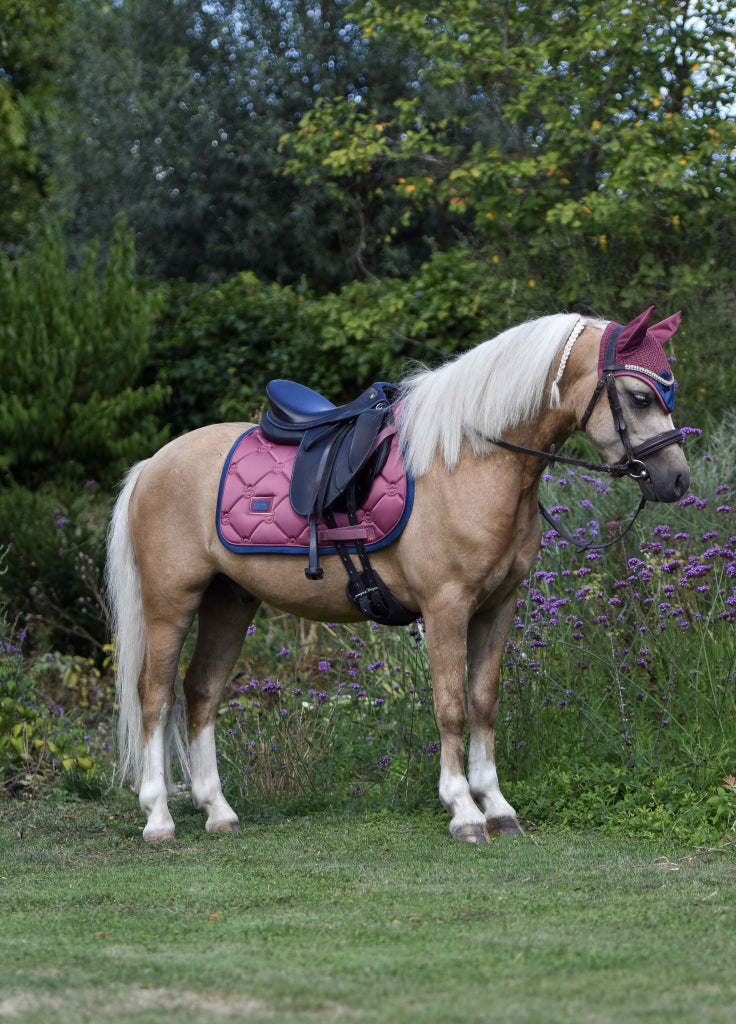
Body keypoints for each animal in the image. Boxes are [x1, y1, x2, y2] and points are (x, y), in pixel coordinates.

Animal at [107, 307, 691, 843]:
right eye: (640, 397)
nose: (677, 480)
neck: (472, 460)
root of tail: (153, 464)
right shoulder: (446, 607)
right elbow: (451, 707)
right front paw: (463, 810)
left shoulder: (498, 606)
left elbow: (483, 703)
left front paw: (497, 806)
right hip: (171, 602)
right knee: (155, 696)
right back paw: (158, 818)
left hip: (229, 601)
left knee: (201, 692)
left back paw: (218, 811)